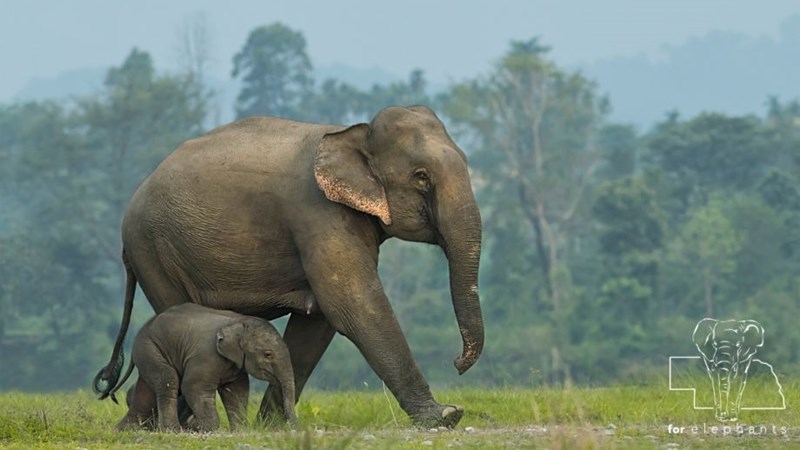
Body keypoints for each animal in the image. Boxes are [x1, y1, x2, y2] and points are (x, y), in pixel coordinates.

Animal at [115, 304, 296, 430]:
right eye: (268, 354)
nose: (294, 427)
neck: (239, 321)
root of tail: (143, 329)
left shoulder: (235, 365)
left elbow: (237, 391)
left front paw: (239, 430)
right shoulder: (205, 357)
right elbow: (193, 386)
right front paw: (201, 428)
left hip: (149, 351)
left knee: (146, 390)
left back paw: (125, 429)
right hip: (150, 347)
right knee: (168, 379)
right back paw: (173, 430)